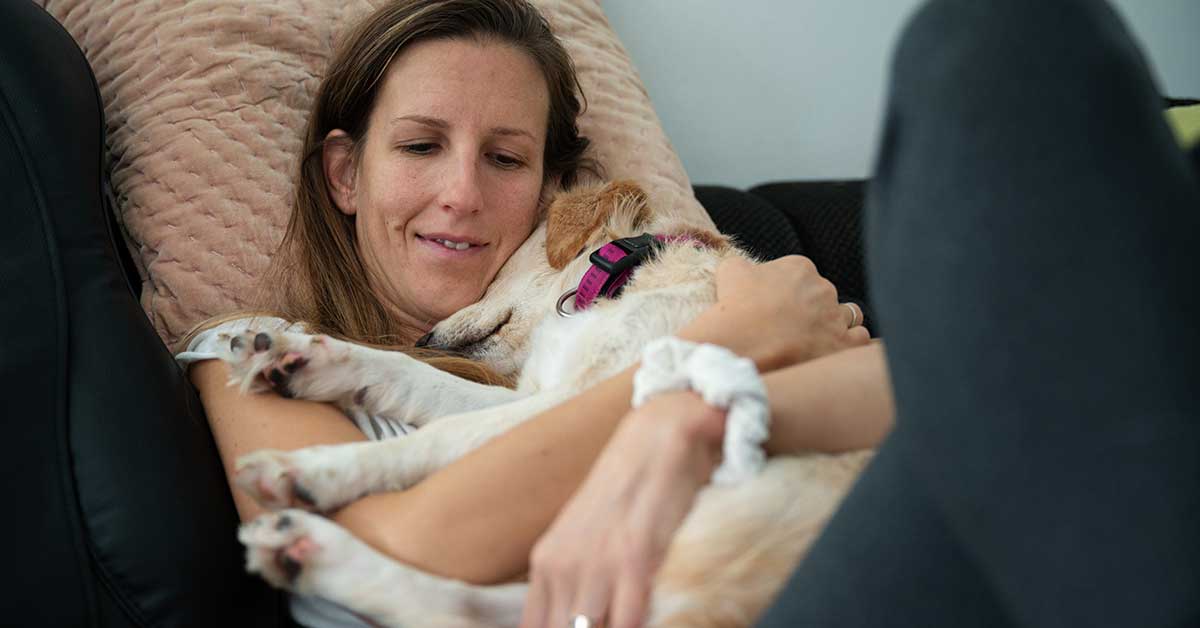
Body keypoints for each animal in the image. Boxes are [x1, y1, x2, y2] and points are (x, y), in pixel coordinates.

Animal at [220, 181, 868, 628]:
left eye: (494, 268)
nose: (424, 337)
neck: (624, 281)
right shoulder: (539, 391)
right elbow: (410, 379)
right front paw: (301, 357)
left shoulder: (586, 401)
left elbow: (437, 438)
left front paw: (316, 467)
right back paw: (306, 552)